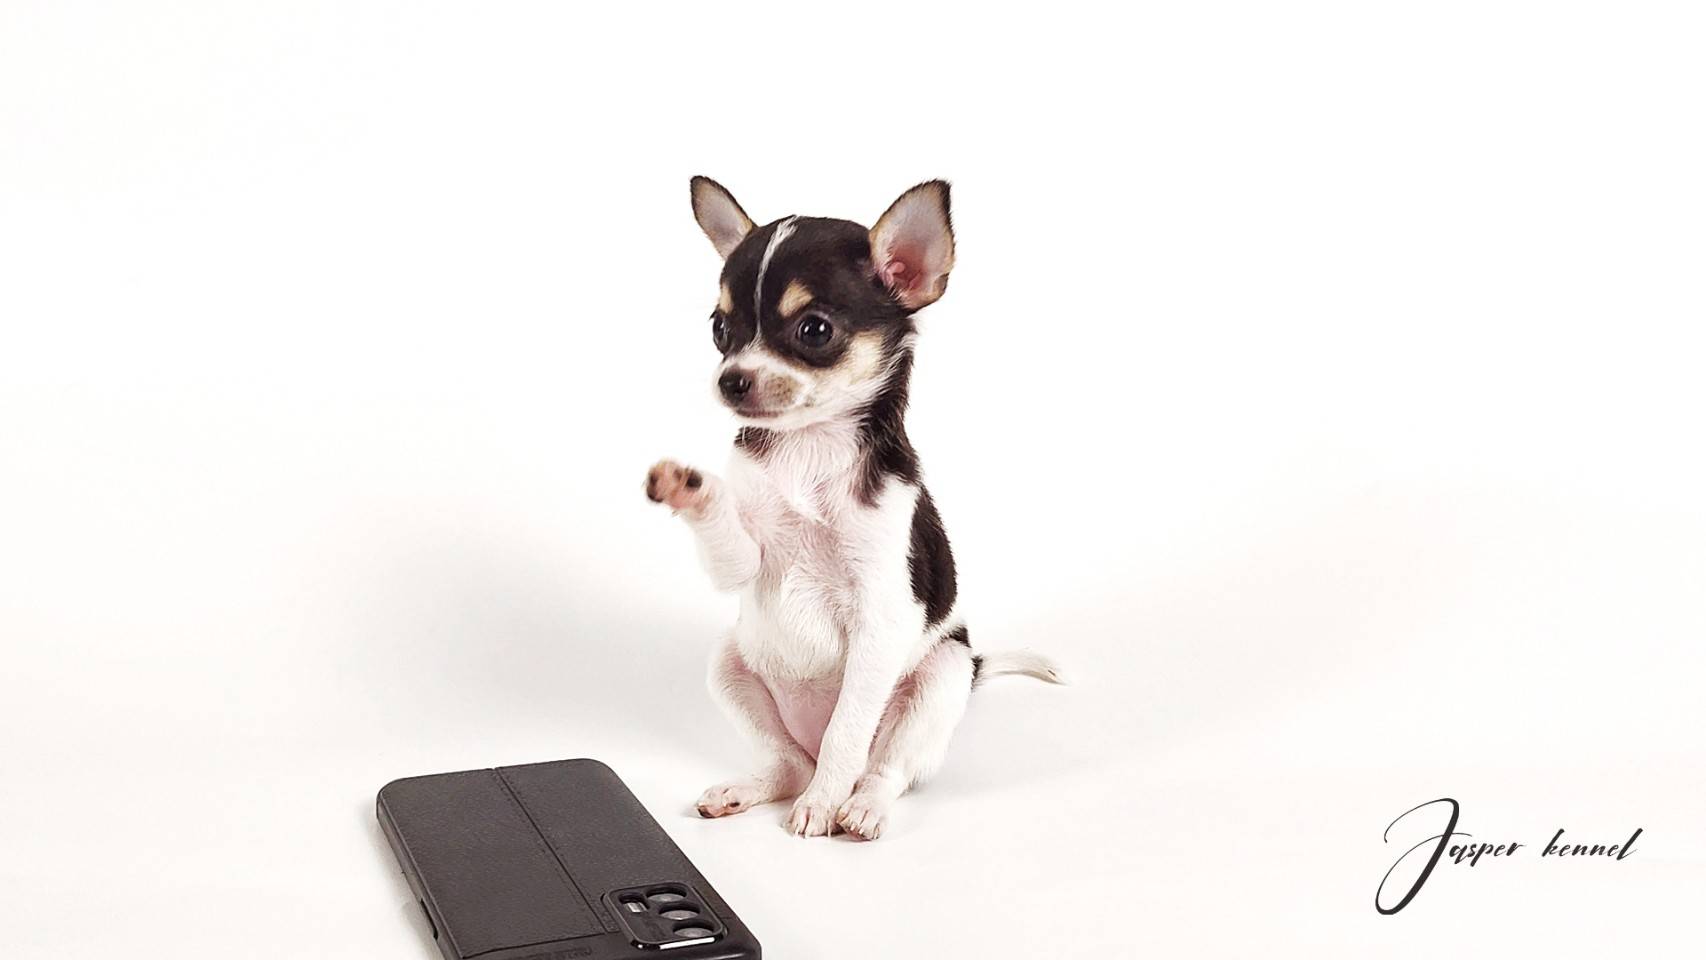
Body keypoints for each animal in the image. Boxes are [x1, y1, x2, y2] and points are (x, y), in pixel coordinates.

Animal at [645, 178, 1063, 840]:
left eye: (814, 331)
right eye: (719, 328)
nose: (731, 380)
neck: (809, 449)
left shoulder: (882, 620)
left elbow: (848, 731)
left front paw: (822, 807)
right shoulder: (742, 564)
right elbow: (726, 535)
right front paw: (691, 486)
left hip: (942, 677)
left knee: (878, 766)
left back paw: (859, 804)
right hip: (728, 664)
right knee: (788, 763)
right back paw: (750, 789)